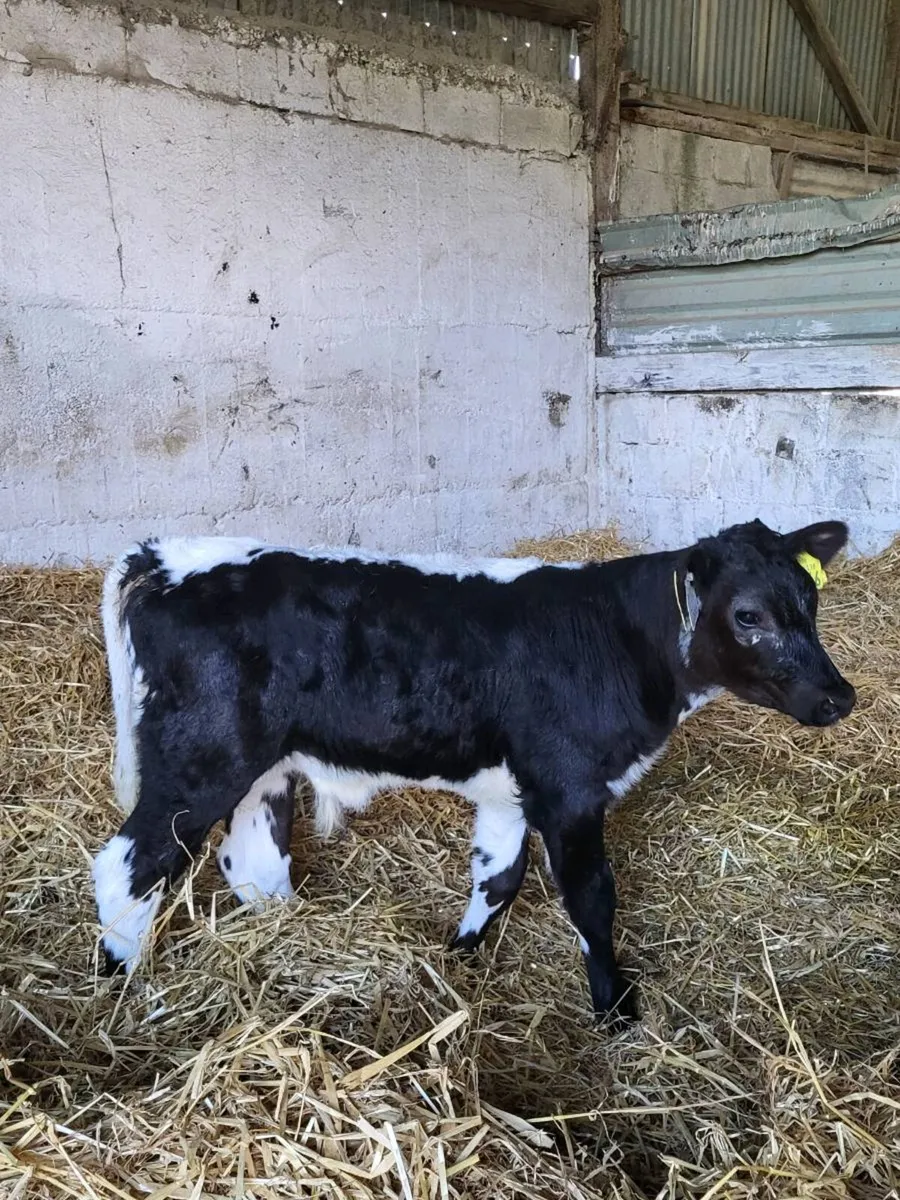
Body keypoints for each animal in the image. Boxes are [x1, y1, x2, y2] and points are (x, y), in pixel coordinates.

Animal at [92, 518, 855, 1023]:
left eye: (810, 602)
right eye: (748, 615)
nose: (838, 697)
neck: (615, 635)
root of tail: (160, 557)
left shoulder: (513, 792)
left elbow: (498, 877)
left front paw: (458, 956)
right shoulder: (570, 790)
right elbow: (592, 898)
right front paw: (615, 1009)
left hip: (261, 768)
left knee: (250, 861)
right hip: (200, 757)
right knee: (130, 863)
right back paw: (119, 981)